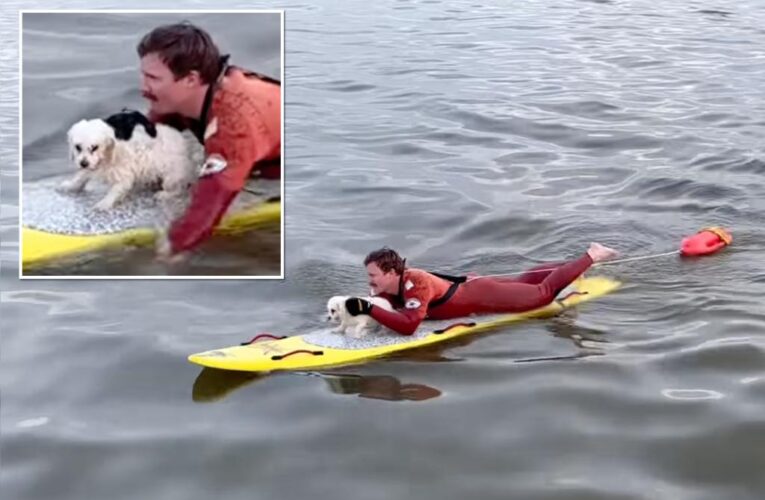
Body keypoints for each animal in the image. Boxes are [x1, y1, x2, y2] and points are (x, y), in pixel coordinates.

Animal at [58, 109, 203, 211]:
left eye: (94, 147)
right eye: (77, 147)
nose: (83, 163)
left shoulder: (124, 175)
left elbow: (115, 190)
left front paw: (104, 203)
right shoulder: (92, 165)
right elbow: (81, 176)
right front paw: (70, 186)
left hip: (172, 175)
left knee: (179, 189)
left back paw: (164, 195)